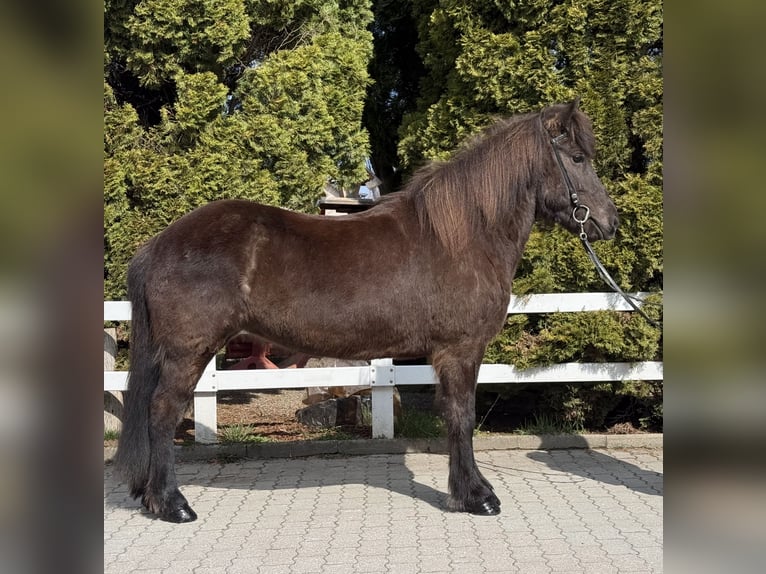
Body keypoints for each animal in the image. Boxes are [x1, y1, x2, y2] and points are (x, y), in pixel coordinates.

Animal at [114, 98, 619, 523]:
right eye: (578, 159)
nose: (610, 222)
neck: (463, 236)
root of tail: (159, 244)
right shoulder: (460, 350)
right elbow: (462, 417)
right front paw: (477, 497)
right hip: (189, 351)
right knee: (162, 411)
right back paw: (173, 504)